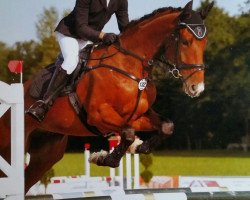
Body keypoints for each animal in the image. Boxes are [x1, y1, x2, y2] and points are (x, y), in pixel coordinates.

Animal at [0, 0, 215, 193]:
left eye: (204, 42)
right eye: (186, 42)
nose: (197, 88)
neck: (130, 65)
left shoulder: (136, 116)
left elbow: (165, 126)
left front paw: (139, 148)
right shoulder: (99, 116)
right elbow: (127, 134)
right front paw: (105, 158)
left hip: (46, 154)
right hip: (10, 145)